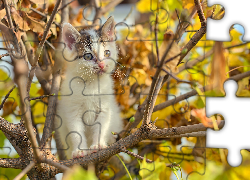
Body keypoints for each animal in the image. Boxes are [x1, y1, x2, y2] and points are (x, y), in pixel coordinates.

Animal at [55, 17, 124, 159]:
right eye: (88, 56)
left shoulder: (105, 108)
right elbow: (76, 132)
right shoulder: (72, 110)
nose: (102, 65)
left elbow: (101, 126)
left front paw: (97, 145)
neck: (92, 85)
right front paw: (79, 151)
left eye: (107, 53)